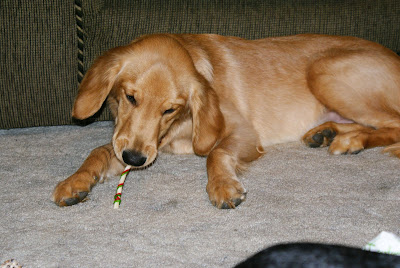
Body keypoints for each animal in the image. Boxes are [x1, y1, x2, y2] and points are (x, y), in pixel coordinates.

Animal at [52, 33, 400, 208]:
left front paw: (222, 185)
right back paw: (327, 133)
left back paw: (350, 141)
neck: (179, 128)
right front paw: (75, 181)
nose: (134, 159)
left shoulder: (244, 131)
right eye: (130, 97)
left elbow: (216, 153)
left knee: (394, 125)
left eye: (169, 109)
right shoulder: (130, 142)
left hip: (325, 71)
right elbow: (98, 151)